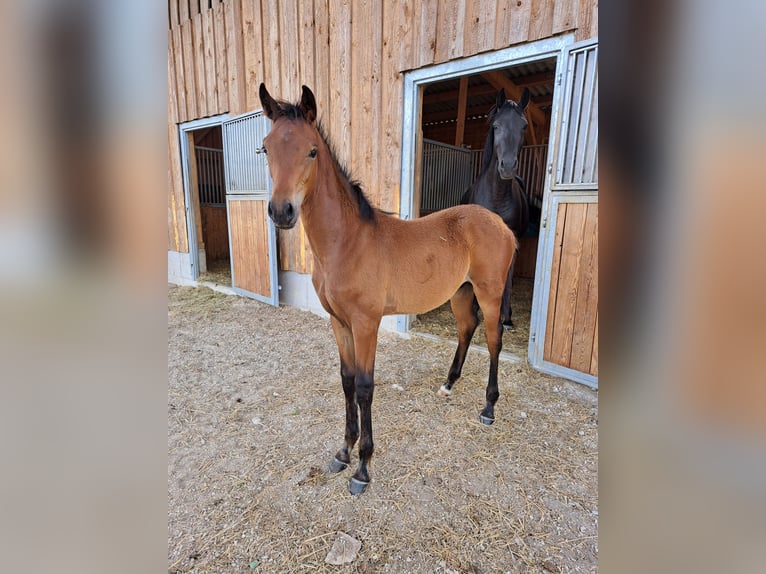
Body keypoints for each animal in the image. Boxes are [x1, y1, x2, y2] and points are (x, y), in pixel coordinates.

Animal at [259, 84, 517, 495]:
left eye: (312, 150)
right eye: (266, 148)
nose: (281, 211)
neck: (347, 242)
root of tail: (499, 224)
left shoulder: (367, 323)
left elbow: (365, 386)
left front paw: (363, 468)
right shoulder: (339, 323)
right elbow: (347, 381)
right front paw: (343, 453)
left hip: (489, 294)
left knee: (493, 341)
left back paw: (489, 408)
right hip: (460, 293)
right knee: (466, 329)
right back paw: (448, 384)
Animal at [461, 87, 531, 328]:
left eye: (524, 126)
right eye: (496, 126)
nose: (507, 166)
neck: (497, 197)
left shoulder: (513, 241)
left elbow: (507, 279)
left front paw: (505, 317)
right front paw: (475, 308)